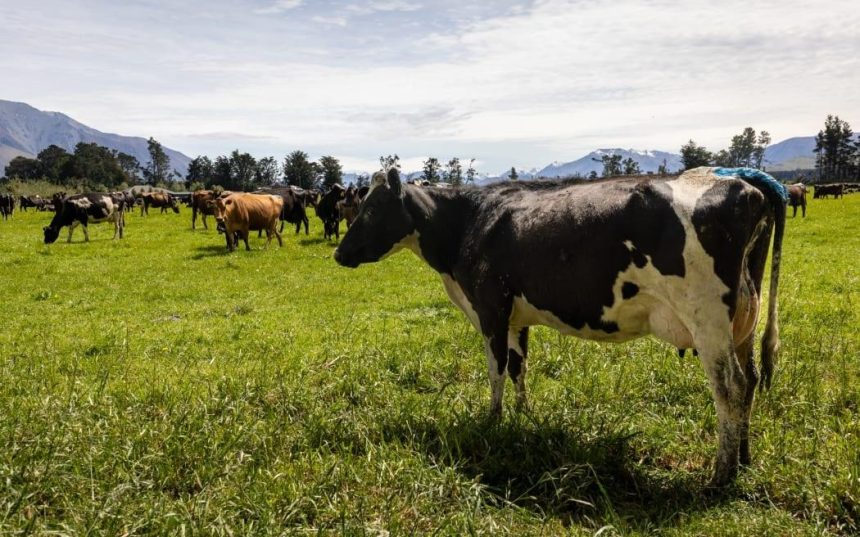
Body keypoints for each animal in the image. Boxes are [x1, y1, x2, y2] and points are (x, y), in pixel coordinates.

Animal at [334, 166, 787, 487]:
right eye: (359, 204)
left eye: (371, 208)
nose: (339, 253)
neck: (468, 222)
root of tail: (741, 180)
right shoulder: (517, 315)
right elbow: (519, 366)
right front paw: (523, 416)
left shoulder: (490, 308)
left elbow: (496, 369)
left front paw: (493, 421)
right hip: (744, 318)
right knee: (750, 379)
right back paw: (743, 457)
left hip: (707, 319)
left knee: (729, 387)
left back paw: (721, 475)